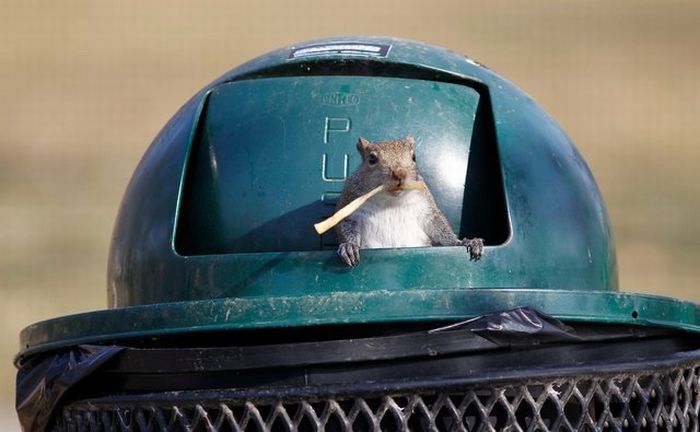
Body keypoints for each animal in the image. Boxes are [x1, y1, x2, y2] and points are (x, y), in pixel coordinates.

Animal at [336, 135, 484, 264]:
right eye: (371, 159)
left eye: (414, 157)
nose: (400, 173)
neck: (391, 200)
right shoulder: (351, 206)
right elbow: (346, 226)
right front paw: (349, 246)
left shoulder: (425, 208)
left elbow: (440, 228)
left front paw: (464, 242)